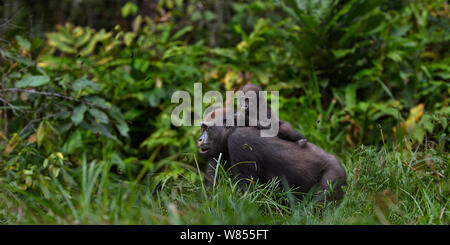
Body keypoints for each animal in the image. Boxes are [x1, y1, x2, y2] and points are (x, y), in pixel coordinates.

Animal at [198, 108, 348, 203]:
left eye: (207, 129)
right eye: (202, 128)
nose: (199, 139)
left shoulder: (239, 140)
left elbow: (250, 194)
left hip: (335, 173)